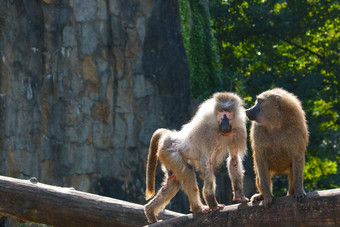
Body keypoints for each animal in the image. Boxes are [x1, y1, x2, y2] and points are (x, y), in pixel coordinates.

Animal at [145, 92, 248, 223]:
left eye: (228, 112)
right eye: (221, 112)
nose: (225, 124)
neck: (218, 130)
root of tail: (171, 135)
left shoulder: (238, 131)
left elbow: (234, 159)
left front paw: (239, 194)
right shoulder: (206, 133)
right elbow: (207, 162)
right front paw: (212, 203)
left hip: (166, 156)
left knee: (174, 181)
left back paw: (150, 211)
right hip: (169, 152)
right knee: (187, 172)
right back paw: (197, 208)